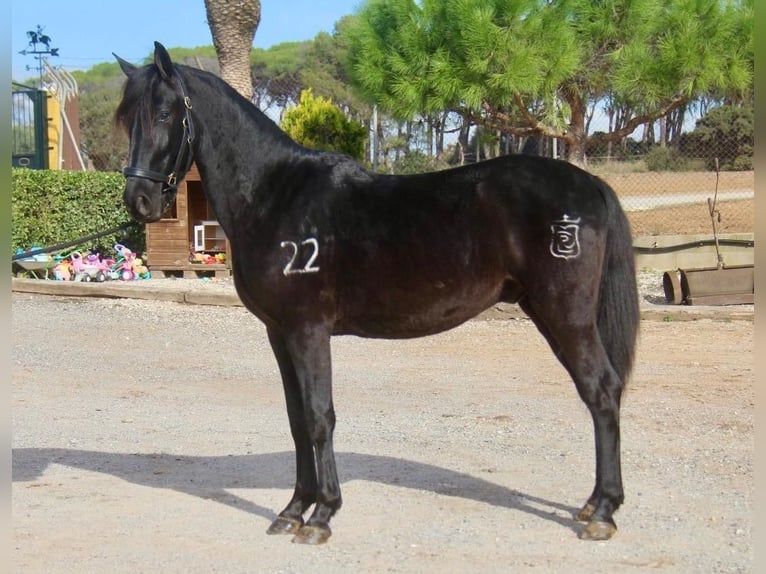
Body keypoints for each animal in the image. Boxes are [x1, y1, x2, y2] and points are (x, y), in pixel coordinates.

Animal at [114, 42, 639, 545]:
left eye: (165, 113)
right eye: (126, 119)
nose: (139, 201)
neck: (274, 195)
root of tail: (590, 183)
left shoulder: (308, 331)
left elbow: (319, 416)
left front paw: (322, 516)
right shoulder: (279, 334)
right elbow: (297, 419)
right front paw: (293, 511)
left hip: (566, 315)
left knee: (602, 391)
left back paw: (604, 512)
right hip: (548, 314)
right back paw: (593, 505)